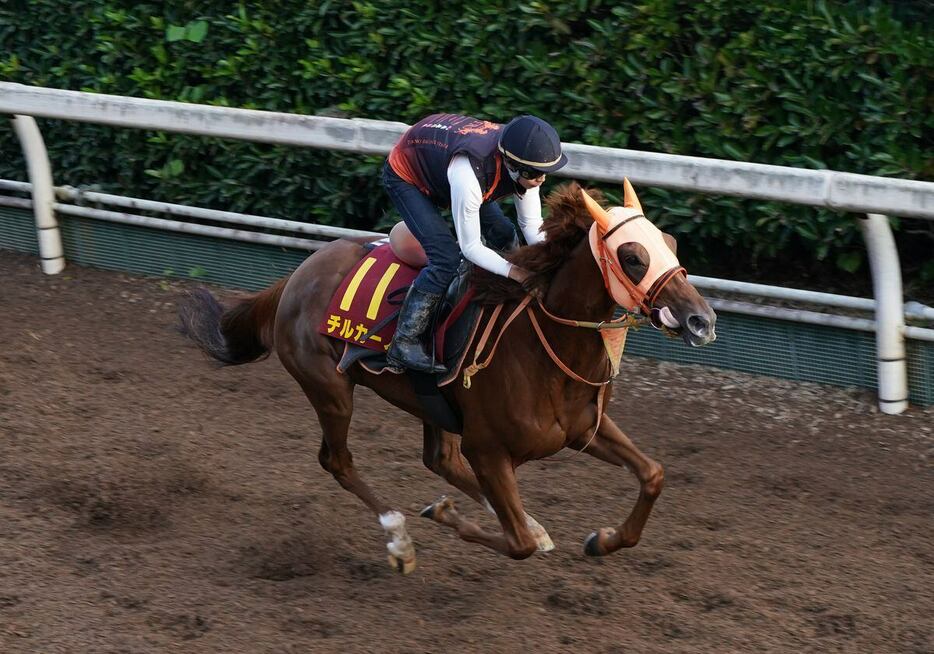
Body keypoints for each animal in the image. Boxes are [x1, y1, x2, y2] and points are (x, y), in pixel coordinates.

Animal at [179, 179, 716, 576]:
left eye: (670, 244)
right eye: (632, 256)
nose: (701, 320)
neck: (542, 347)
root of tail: (295, 277)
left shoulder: (583, 429)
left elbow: (653, 474)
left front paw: (601, 540)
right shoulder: (488, 448)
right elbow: (516, 542)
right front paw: (446, 515)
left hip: (431, 404)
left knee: (439, 459)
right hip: (329, 388)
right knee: (338, 461)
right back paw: (399, 539)